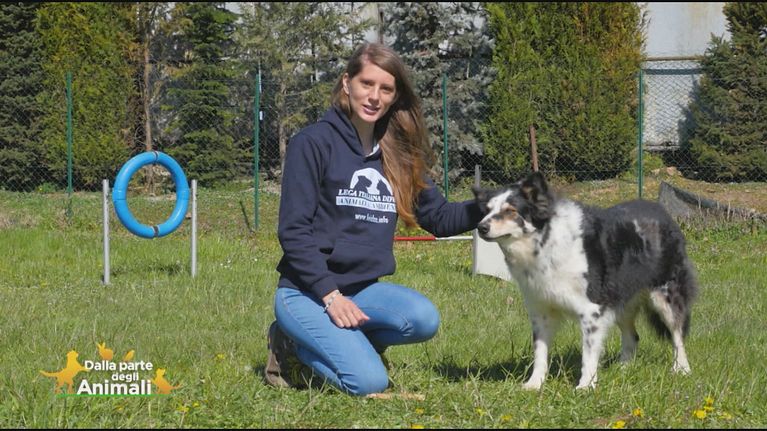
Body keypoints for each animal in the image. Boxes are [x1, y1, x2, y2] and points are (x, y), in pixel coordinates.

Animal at [473, 171, 698, 390]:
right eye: (487, 210)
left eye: (510, 210)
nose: (481, 227)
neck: (545, 242)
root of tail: (662, 211)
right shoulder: (541, 310)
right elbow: (539, 351)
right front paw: (535, 384)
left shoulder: (591, 310)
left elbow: (588, 353)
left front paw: (586, 386)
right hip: (620, 301)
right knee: (633, 336)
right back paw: (623, 368)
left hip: (665, 297)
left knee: (678, 335)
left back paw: (681, 369)